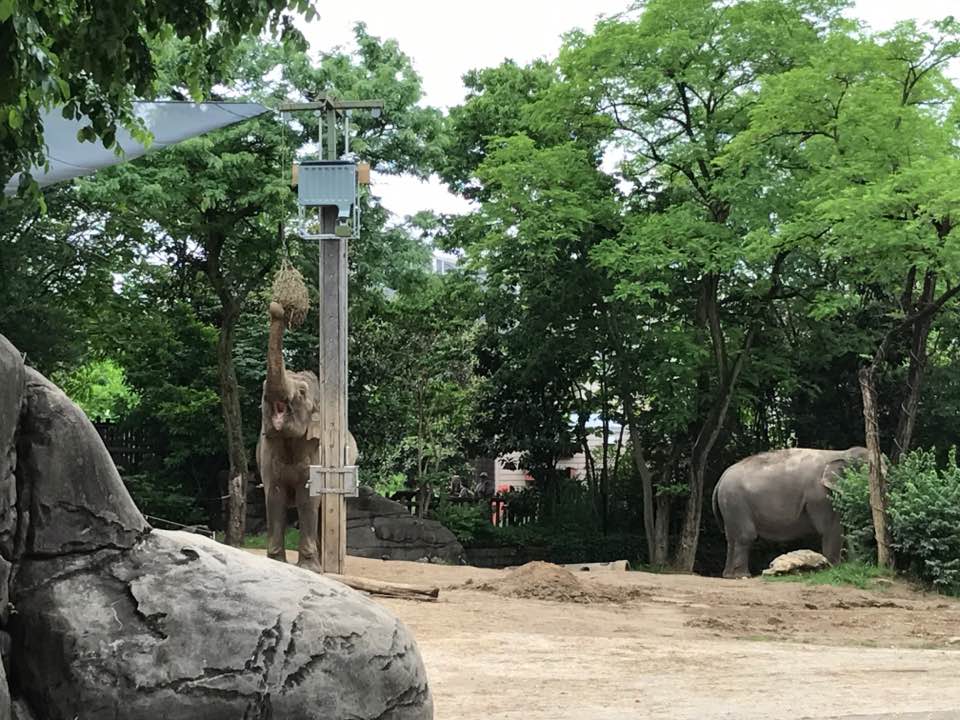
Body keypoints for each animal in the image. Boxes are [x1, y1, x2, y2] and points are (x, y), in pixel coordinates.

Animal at [256, 301, 356, 573]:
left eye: (301, 392)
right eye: (262, 389)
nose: (276, 308)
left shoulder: (315, 451)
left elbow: (307, 499)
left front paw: (309, 569)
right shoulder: (269, 452)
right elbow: (274, 496)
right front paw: (276, 562)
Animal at [712, 446, 872, 579]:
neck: (842, 453)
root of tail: (721, 479)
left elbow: (846, 527)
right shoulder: (820, 496)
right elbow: (831, 528)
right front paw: (834, 568)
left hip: (729, 504)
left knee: (731, 537)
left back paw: (728, 576)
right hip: (736, 501)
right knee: (746, 536)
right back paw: (742, 576)